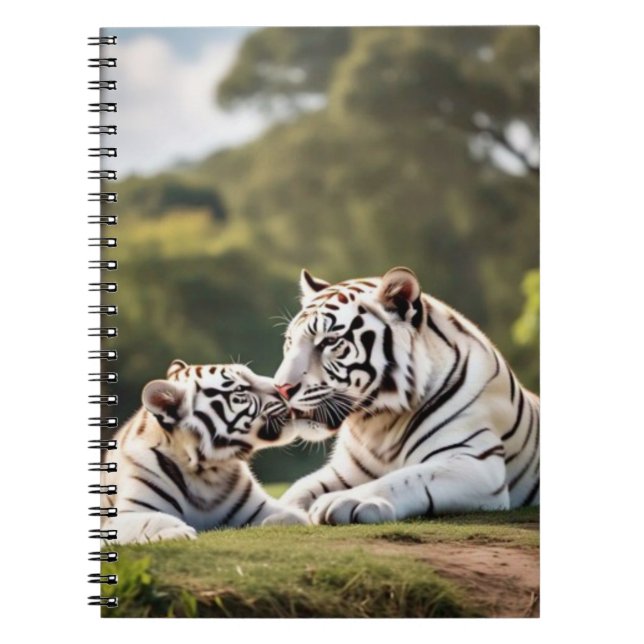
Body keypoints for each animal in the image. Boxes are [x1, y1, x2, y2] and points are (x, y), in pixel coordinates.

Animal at [102, 360, 317, 544]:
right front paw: (179, 532)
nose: (288, 389)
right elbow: (154, 520)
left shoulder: (263, 507)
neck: (207, 471)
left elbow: (291, 516)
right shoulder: (124, 517)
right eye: (240, 389)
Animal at [274, 266, 540, 525]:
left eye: (330, 341)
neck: (377, 424)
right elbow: (299, 488)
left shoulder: (475, 463)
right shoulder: (345, 471)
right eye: (290, 341)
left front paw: (345, 500)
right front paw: (282, 512)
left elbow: (404, 479)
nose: (281, 388)